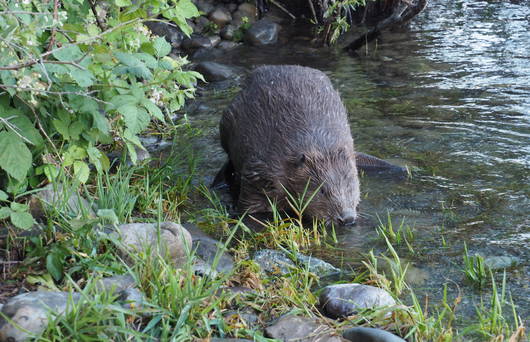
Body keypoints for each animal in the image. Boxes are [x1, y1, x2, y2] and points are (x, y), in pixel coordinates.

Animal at [214, 65, 358, 224]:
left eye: (350, 186)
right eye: (322, 191)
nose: (347, 218)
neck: (319, 146)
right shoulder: (260, 169)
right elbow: (250, 204)